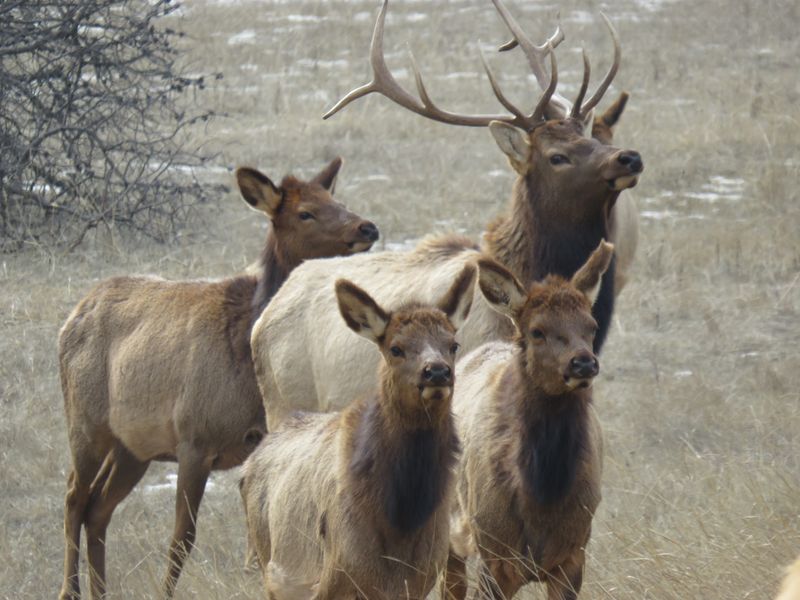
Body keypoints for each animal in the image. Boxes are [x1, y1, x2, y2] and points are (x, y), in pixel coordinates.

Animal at [59, 159, 378, 600]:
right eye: (305, 213)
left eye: (338, 200)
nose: (367, 227)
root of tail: (75, 313)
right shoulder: (194, 437)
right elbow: (183, 536)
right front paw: (165, 592)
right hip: (85, 420)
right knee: (74, 496)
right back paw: (68, 589)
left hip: (133, 446)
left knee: (98, 508)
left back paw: (100, 591)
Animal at [238, 264, 476, 596]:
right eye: (395, 348)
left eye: (453, 344)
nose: (437, 372)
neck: (402, 520)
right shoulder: (335, 576)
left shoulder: (420, 577)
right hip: (269, 563)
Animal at [444, 240, 612, 600]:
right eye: (537, 331)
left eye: (591, 326)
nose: (583, 363)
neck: (542, 497)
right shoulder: (493, 555)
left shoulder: (574, 554)